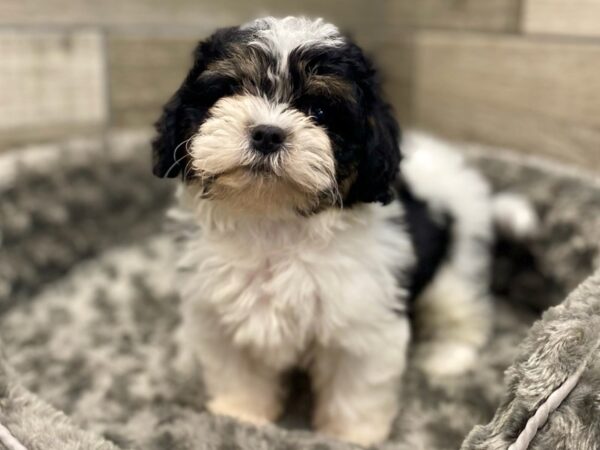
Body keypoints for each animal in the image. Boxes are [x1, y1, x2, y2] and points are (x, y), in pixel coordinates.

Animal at [150, 15, 536, 444]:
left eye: (319, 110)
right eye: (230, 90)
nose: (267, 133)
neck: (274, 221)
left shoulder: (363, 323)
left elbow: (356, 387)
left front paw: (352, 437)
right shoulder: (223, 320)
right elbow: (239, 373)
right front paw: (240, 417)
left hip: (456, 264)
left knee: (464, 312)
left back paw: (447, 357)